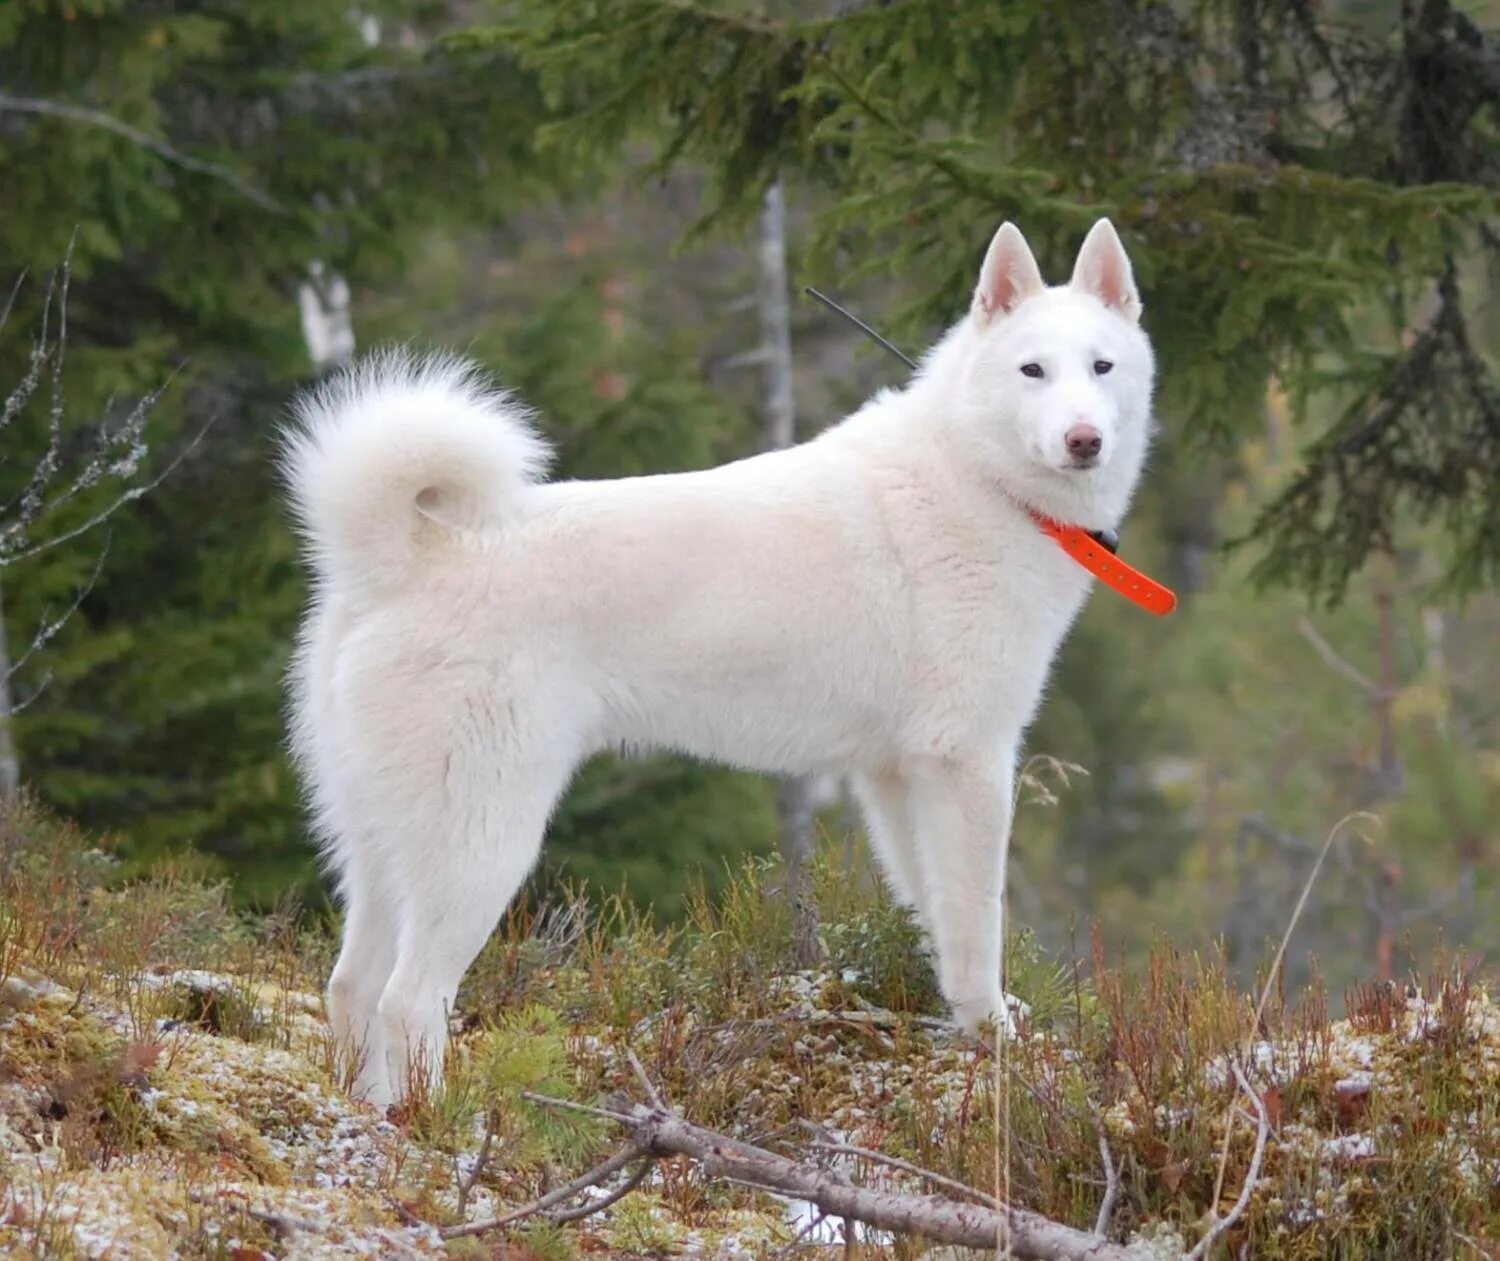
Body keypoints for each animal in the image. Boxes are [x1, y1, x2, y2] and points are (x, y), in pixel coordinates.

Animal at [289, 215, 1158, 1103]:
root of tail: (406, 557)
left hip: (380, 845)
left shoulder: (896, 777)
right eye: (1032, 370)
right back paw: (442, 1117)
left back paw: (375, 1112)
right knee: (407, 999)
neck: (977, 479)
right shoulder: (969, 763)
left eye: (1101, 366)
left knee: (351, 987)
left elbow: (935, 914)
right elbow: (980, 922)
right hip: (481, 845)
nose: (1084, 439)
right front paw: (999, 1040)